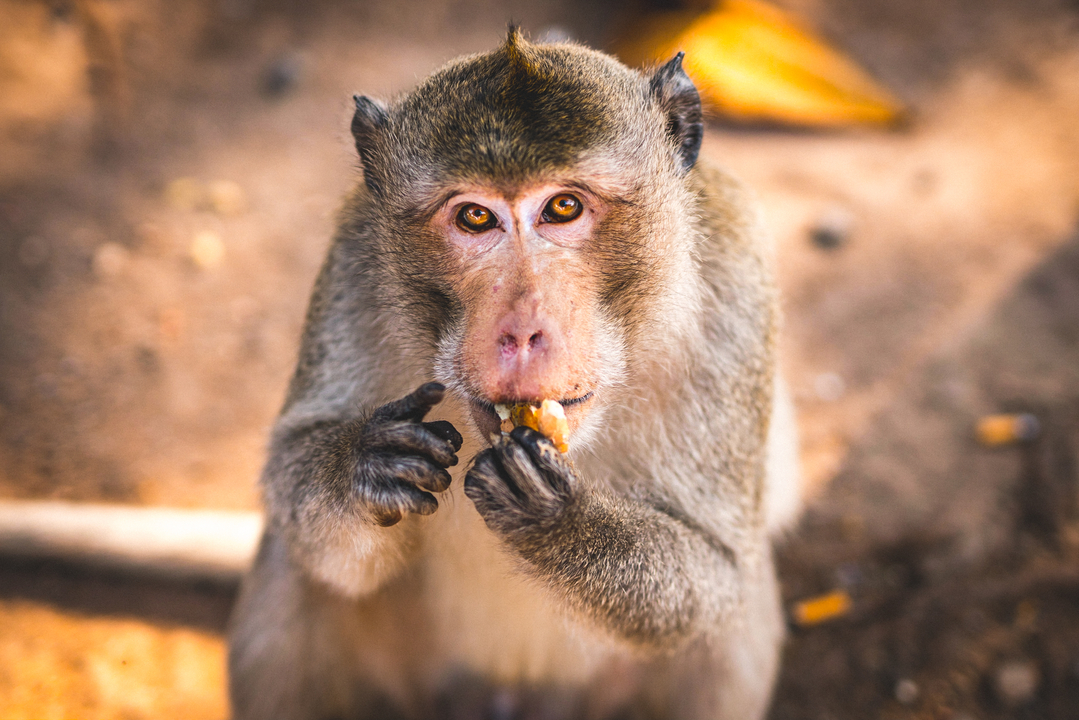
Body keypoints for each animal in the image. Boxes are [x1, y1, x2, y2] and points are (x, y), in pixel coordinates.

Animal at [228, 30, 801, 720]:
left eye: (563, 207)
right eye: (475, 217)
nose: (521, 331)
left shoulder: (734, 279)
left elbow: (719, 575)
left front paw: (560, 518)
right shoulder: (353, 258)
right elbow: (295, 476)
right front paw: (361, 466)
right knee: (297, 575)